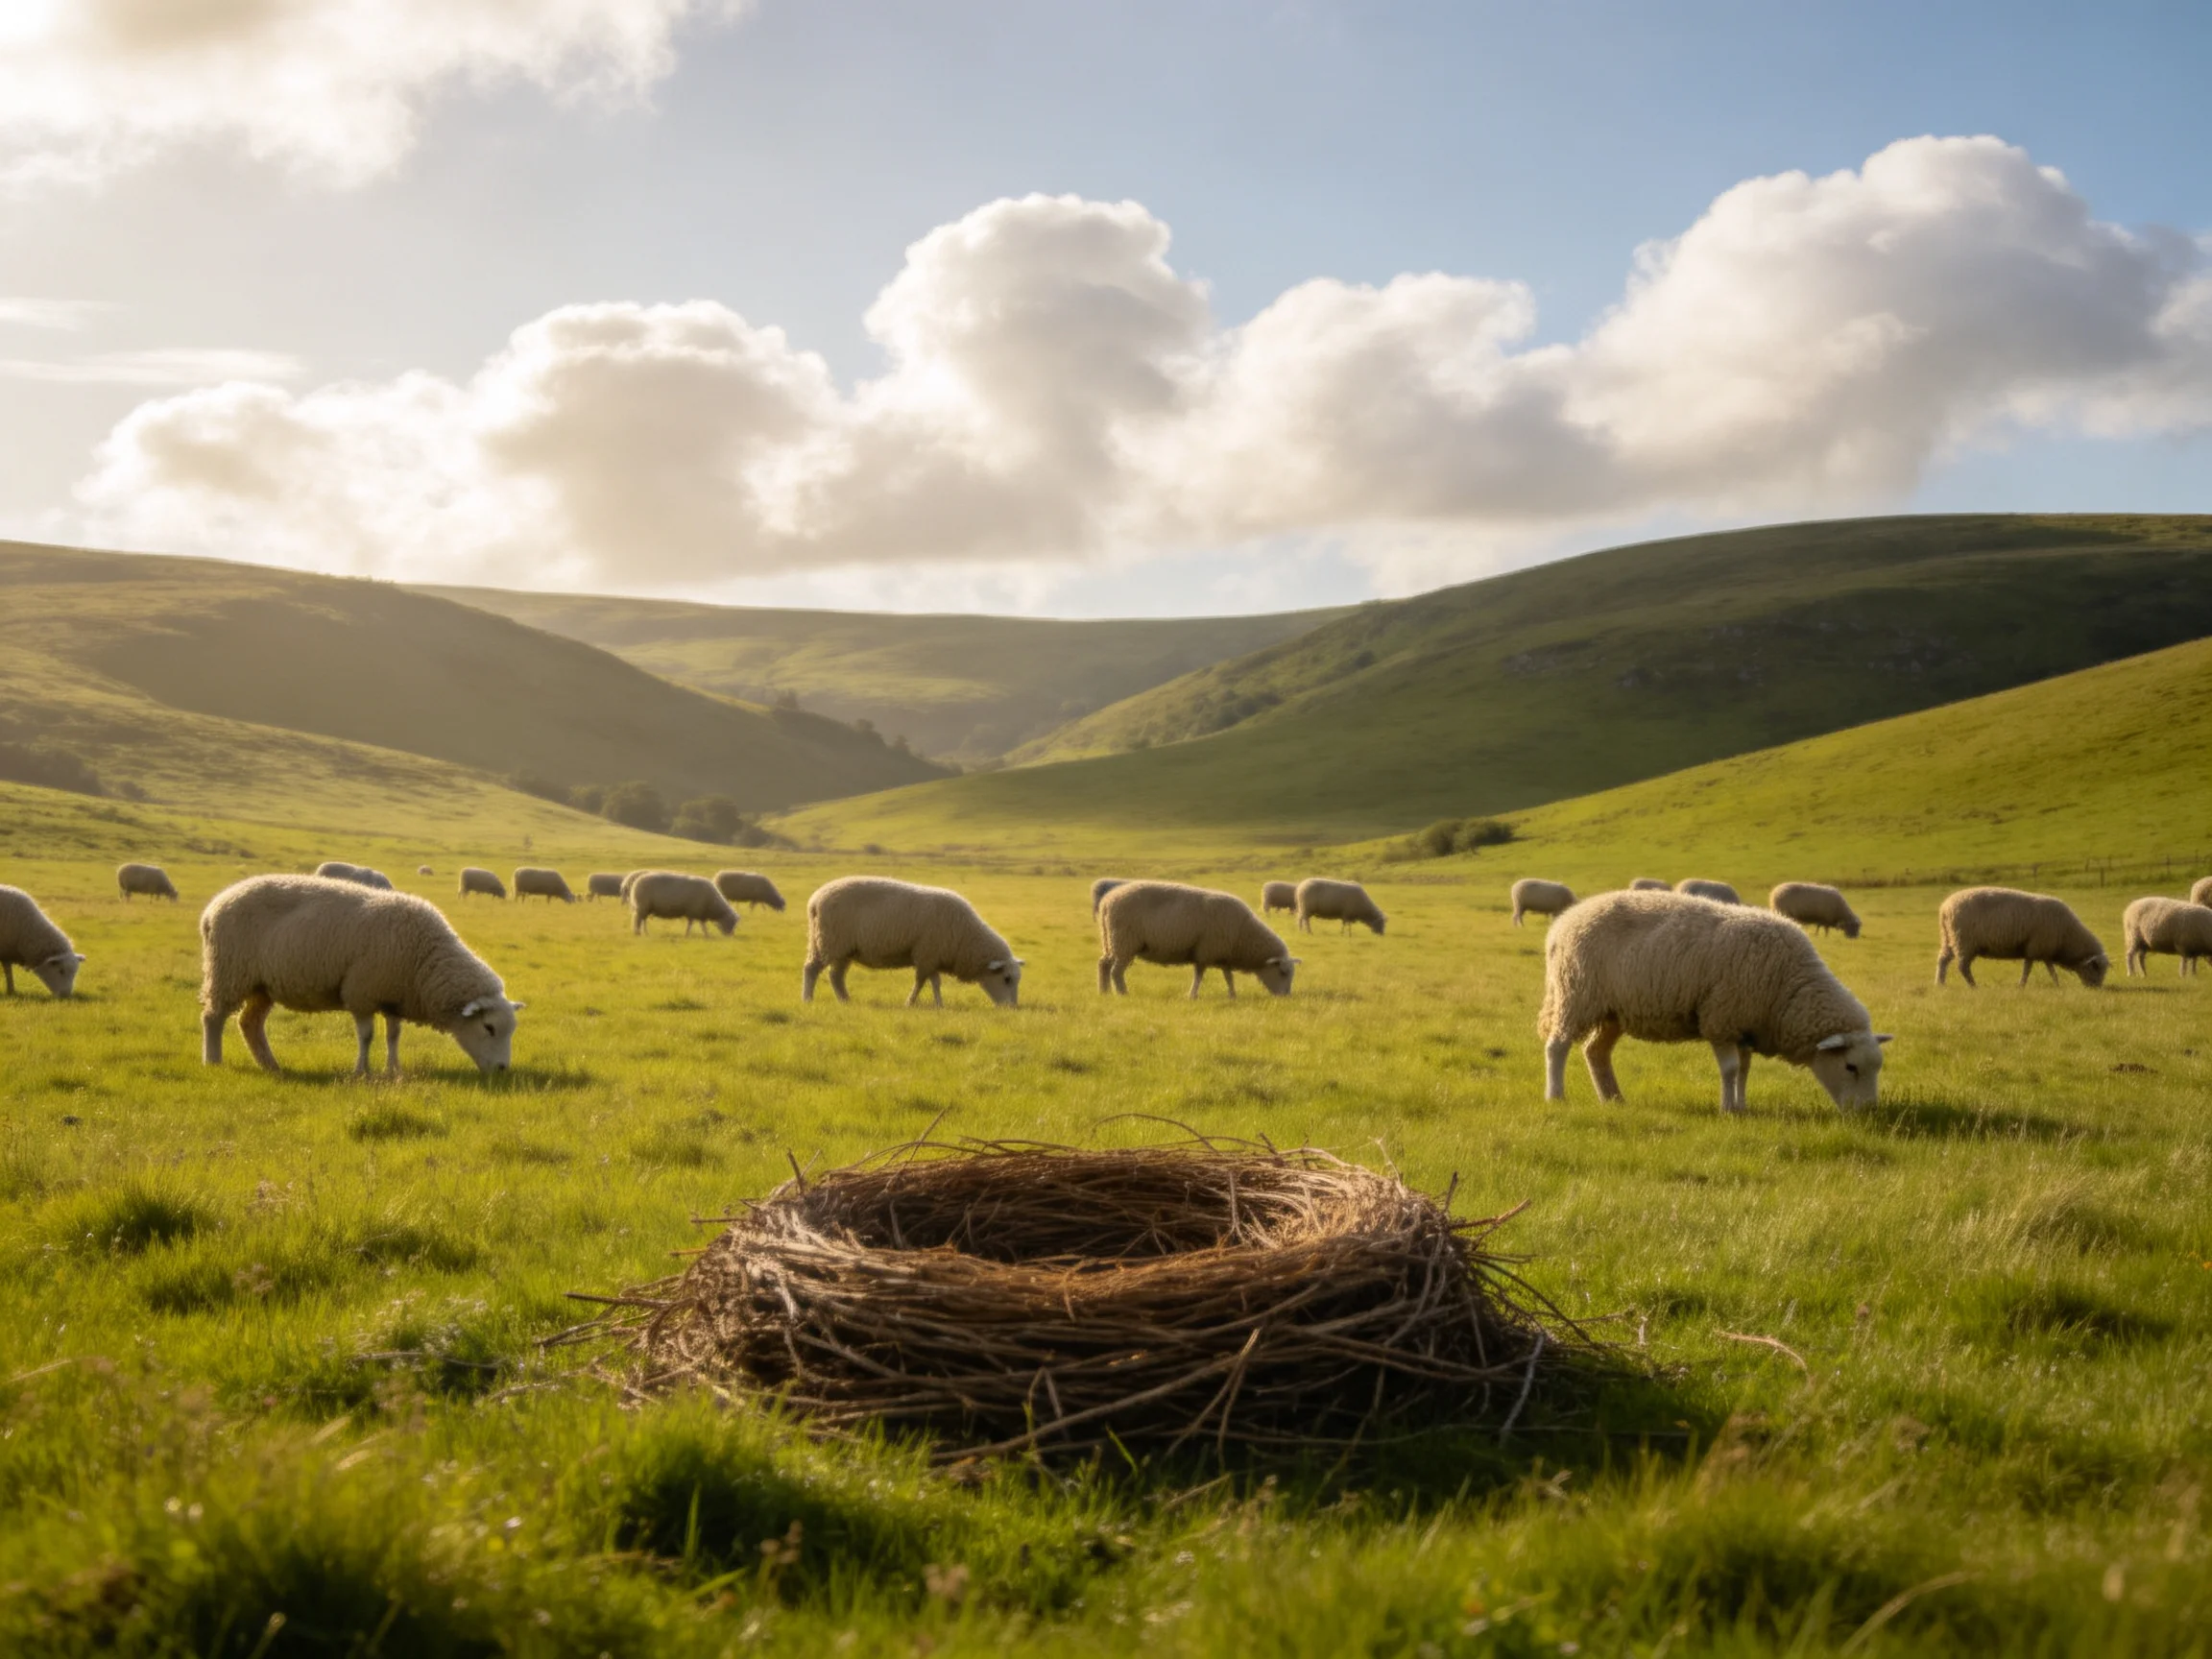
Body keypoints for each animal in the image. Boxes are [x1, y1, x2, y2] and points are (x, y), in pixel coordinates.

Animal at [198, 874, 521, 1076]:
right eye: (489, 1027)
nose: (502, 1070)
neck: (425, 959)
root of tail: (212, 908)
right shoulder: (361, 992)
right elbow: (367, 1036)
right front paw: (361, 1071)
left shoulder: (394, 995)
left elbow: (393, 1035)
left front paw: (393, 1070)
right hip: (229, 971)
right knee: (213, 1017)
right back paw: (213, 1061)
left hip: (261, 984)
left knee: (249, 1023)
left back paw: (271, 1066)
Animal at [803, 876, 1021, 1007]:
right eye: (1006, 979)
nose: (1011, 1008)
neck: (966, 937)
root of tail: (815, 900)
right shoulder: (927, 955)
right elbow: (923, 982)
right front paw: (913, 1003)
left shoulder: (932, 957)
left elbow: (934, 982)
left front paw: (938, 1004)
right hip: (828, 941)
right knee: (811, 969)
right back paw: (807, 999)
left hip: (841, 948)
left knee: (836, 976)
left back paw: (846, 1001)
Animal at [1097, 881, 1297, 998]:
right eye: (1282, 973)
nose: (1286, 997)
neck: (1245, 934)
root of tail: (1107, 901)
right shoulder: (1205, 951)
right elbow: (1199, 975)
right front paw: (1192, 995)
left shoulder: (1223, 953)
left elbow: (1228, 976)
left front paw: (1232, 995)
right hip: (1124, 942)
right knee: (1116, 971)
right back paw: (1123, 993)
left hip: (1110, 941)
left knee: (1104, 964)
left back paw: (1104, 992)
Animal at [1540, 890, 1891, 1114]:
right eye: (1850, 1066)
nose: (1868, 1112)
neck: (1788, 988)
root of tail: (1565, 920)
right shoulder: (1721, 1019)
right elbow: (1731, 1069)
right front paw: (1727, 1109)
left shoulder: (1745, 1026)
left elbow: (1745, 1069)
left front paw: (1742, 1106)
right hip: (1576, 995)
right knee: (1557, 1047)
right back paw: (1556, 1096)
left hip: (1613, 1011)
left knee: (1595, 1052)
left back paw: (1613, 1099)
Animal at [1935, 887, 2108, 988]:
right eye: (2096, 969)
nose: (2097, 989)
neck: (2068, 936)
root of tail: (1945, 908)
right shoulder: (2036, 946)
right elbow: (2029, 968)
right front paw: (2022, 985)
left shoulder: (2043, 949)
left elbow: (2049, 968)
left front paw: (2056, 984)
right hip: (1964, 941)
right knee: (1963, 966)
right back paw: (1973, 985)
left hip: (1949, 938)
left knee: (1943, 960)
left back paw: (1940, 984)